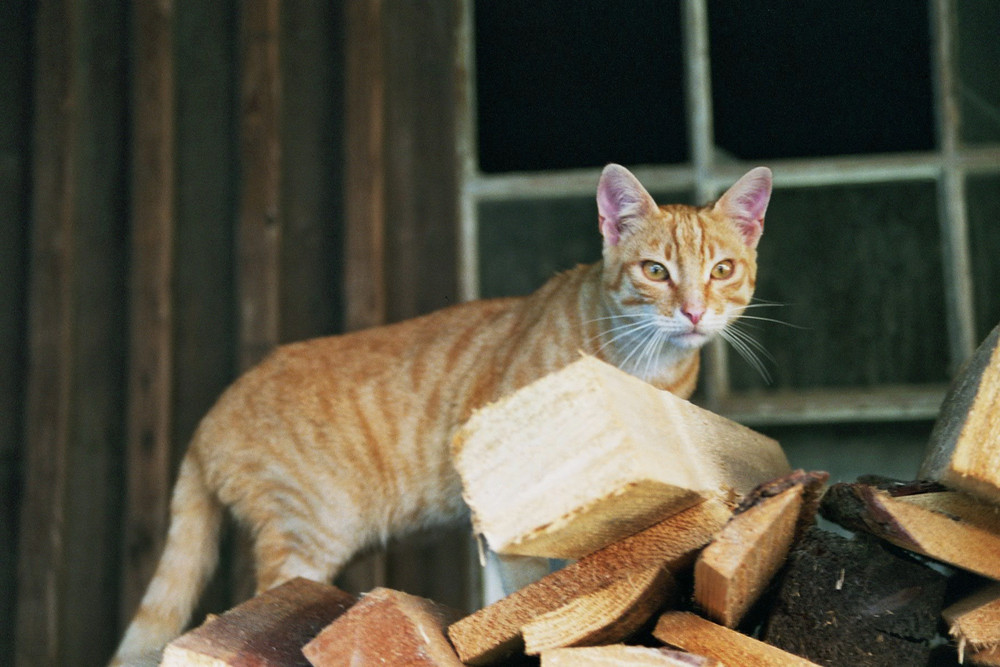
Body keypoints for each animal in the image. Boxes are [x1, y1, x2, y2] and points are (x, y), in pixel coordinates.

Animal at [109, 164, 768, 664]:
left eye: (723, 270)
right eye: (655, 271)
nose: (693, 312)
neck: (644, 365)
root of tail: (210, 413)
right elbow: (527, 587)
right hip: (307, 531)